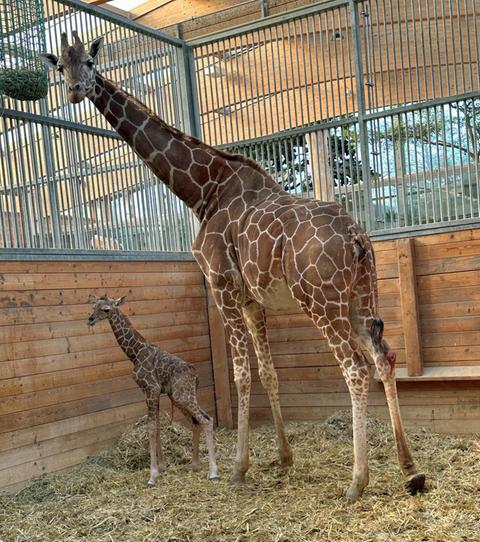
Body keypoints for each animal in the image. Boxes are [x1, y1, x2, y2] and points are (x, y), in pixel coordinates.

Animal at [87, 296, 218, 486]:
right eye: (93, 306)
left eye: (106, 309)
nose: (90, 319)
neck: (134, 354)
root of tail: (196, 376)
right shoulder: (150, 393)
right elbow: (156, 427)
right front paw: (162, 467)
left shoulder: (152, 389)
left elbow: (150, 428)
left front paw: (152, 475)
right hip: (179, 397)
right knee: (197, 422)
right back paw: (195, 465)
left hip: (182, 396)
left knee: (206, 420)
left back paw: (213, 471)